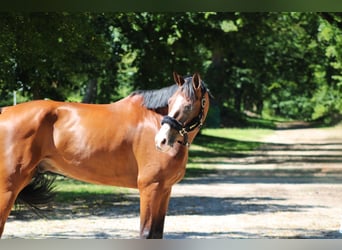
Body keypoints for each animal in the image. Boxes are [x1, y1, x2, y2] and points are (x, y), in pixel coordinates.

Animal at [0, 72, 208, 238]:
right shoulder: (151, 188)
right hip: (8, 188)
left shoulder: (165, 190)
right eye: (170, 103)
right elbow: (146, 234)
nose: (161, 141)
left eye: (189, 105)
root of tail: (5, 111)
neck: (151, 120)